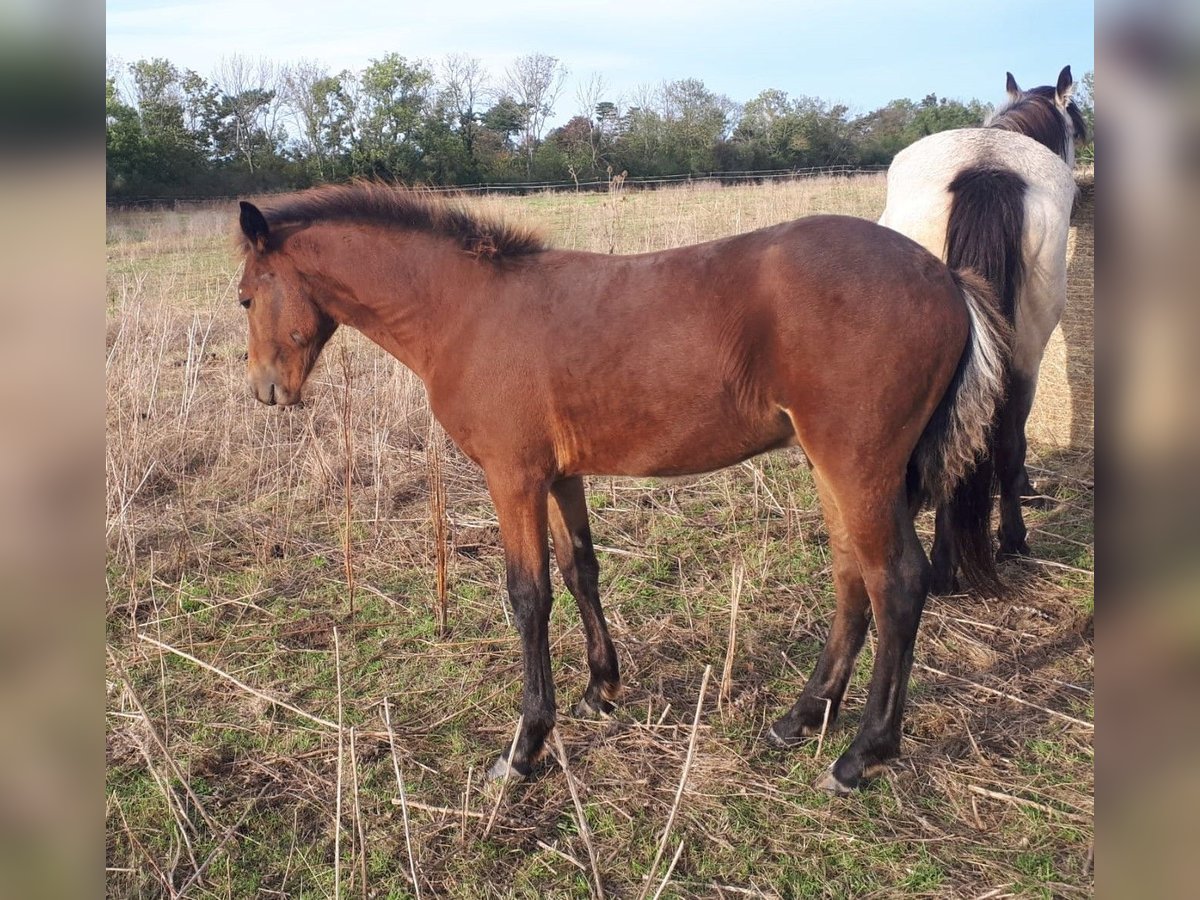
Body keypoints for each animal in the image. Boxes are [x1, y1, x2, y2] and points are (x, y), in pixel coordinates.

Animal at [238, 184, 1008, 796]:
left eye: (245, 296)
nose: (266, 392)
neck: (465, 312)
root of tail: (946, 276)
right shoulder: (559, 474)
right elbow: (581, 570)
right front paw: (600, 690)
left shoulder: (511, 476)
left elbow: (529, 597)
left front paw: (524, 749)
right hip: (834, 469)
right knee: (853, 578)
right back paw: (798, 719)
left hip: (859, 465)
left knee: (896, 582)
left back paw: (861, 755)